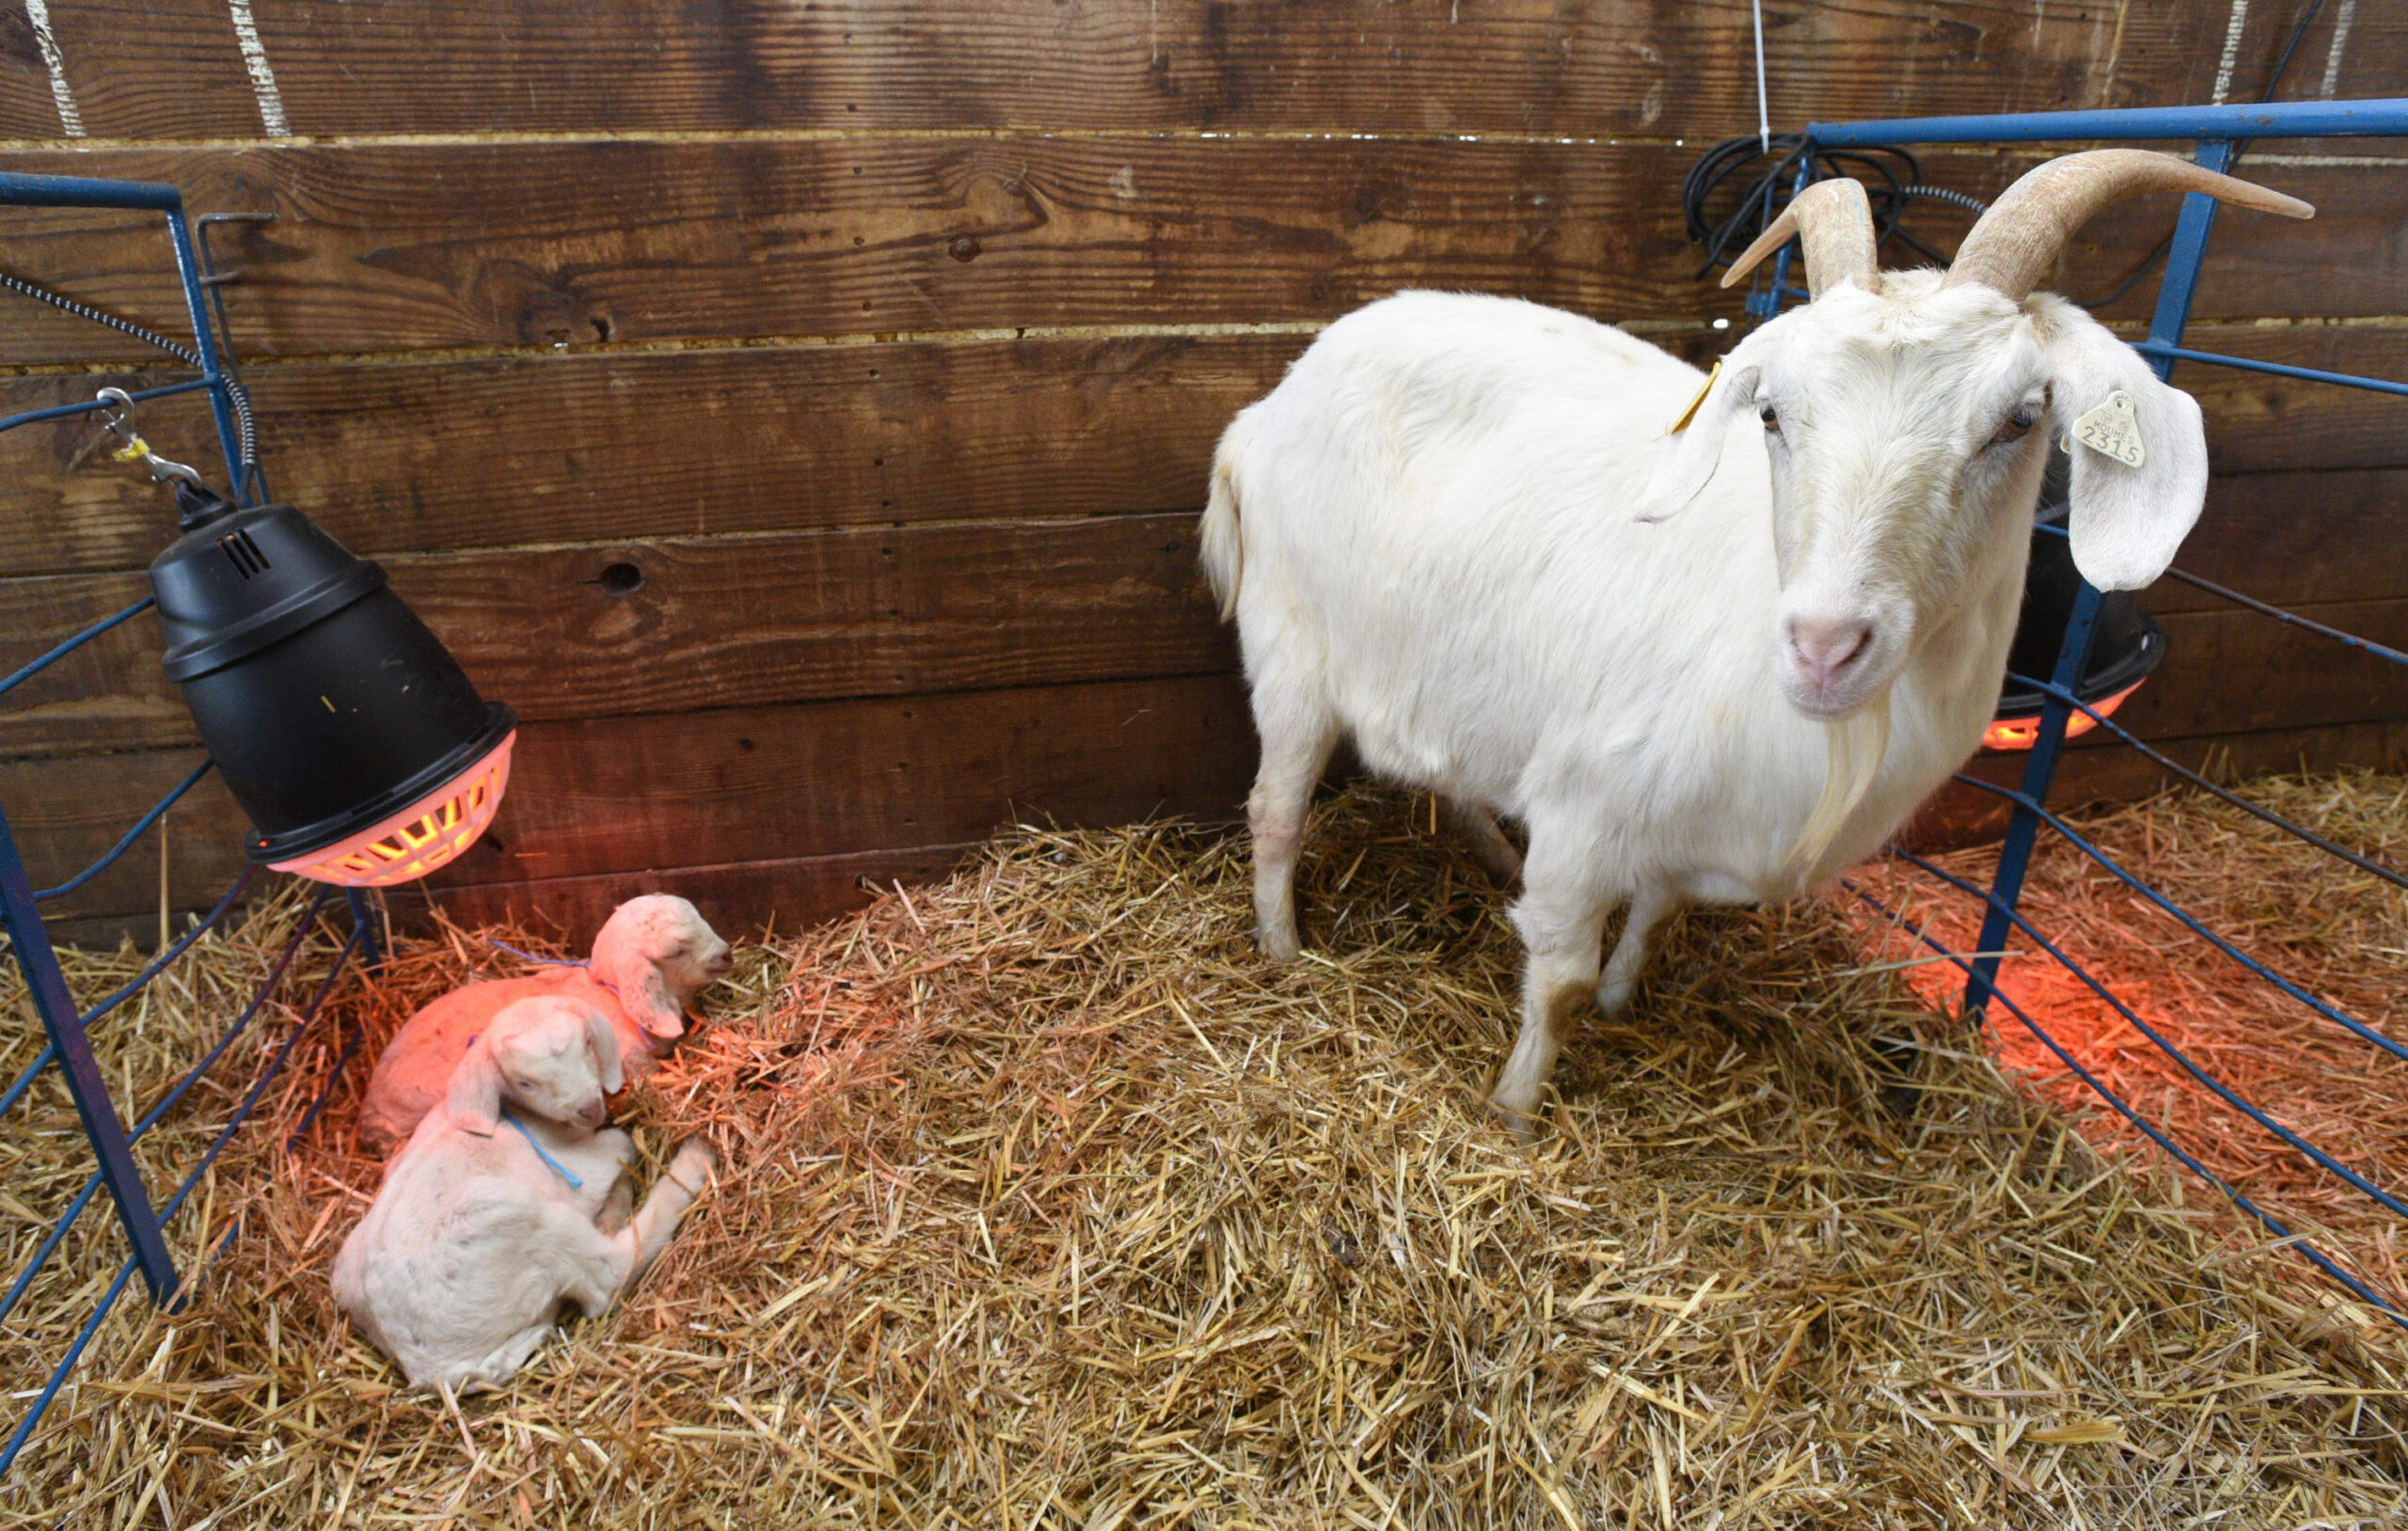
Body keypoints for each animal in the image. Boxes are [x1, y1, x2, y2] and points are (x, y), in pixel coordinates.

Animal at [333, 995, 720, 1394]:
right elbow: (623, 1144)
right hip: (525, 1222)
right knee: (608, 1276)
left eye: (588, 1043)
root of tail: (428, 1366)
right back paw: (694, 1161)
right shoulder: (587, 1167)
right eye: (525, 1082)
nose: (589, 1109)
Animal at [1199, 151, 2311, 1133]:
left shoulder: (1690, 832)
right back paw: (1283, 948)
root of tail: (1267, 408)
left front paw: (1623, 1005)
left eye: (2020, 418)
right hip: (1291, 648)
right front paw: (1515, 1111)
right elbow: (1557, 979)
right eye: (1771, 410)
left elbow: (1651, 922)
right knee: (1275, 811)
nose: (1824, 645)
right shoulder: (1585, 808)